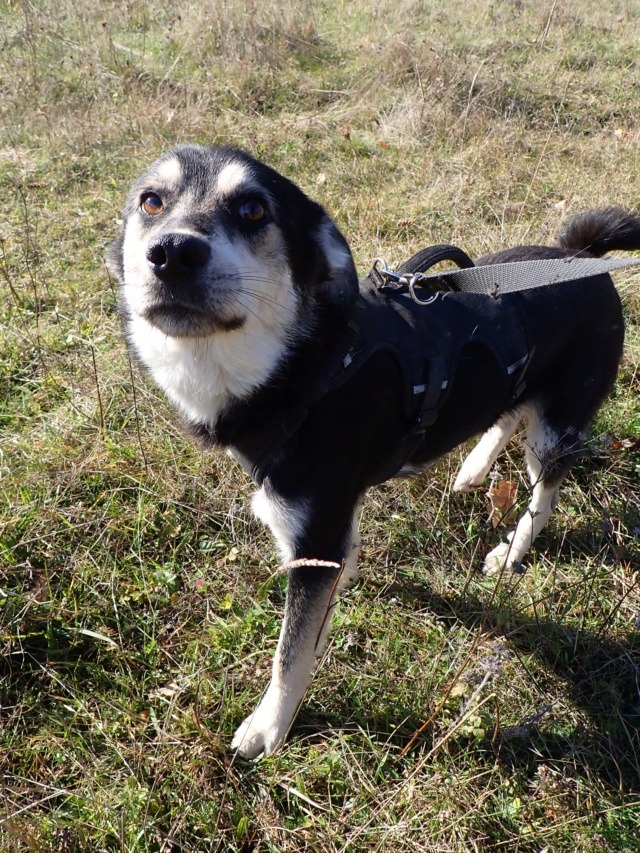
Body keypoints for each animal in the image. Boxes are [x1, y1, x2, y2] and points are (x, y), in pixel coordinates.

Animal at [108, 144, 640, 758]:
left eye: (253, 209)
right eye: (151, 201)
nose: (172, 253)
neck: (301, 367)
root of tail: (582, 254)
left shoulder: (315, 534)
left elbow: (290, 653)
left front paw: (267, 729)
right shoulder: (327, 532)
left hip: (559, 426)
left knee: (545, 494)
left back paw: (511, 550)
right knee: (506, 412)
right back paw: (473, 468)